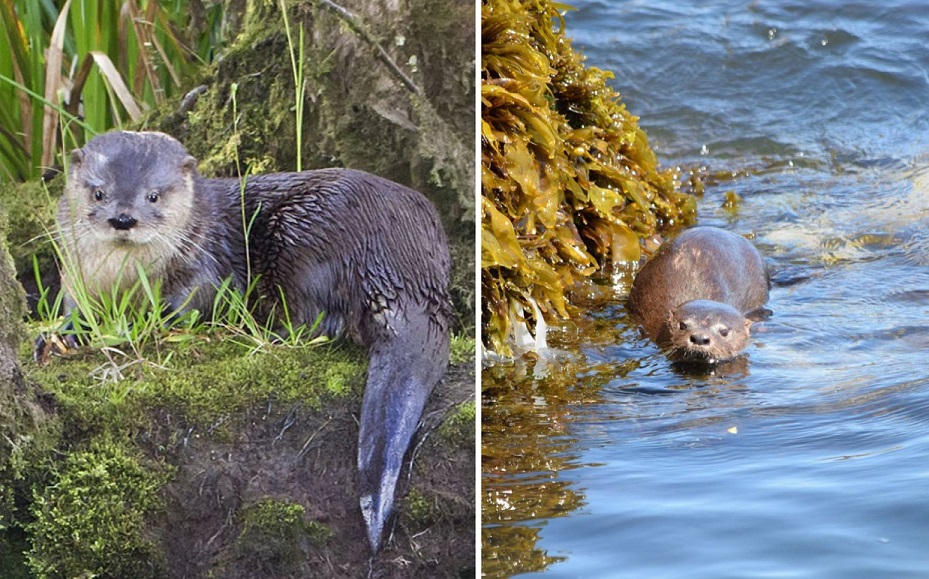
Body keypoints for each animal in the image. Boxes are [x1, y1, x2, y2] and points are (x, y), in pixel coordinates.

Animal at [45, 130, 452, 552]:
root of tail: (405, 268)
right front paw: (60, 337)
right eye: (99, 193)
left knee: (314, 321)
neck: (123, 280)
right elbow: (74, 309)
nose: (123, 218)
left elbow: (191, 303)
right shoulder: (74, 274)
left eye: (153, 195)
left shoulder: (204, 263)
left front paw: (145, 328)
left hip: (303, 234)